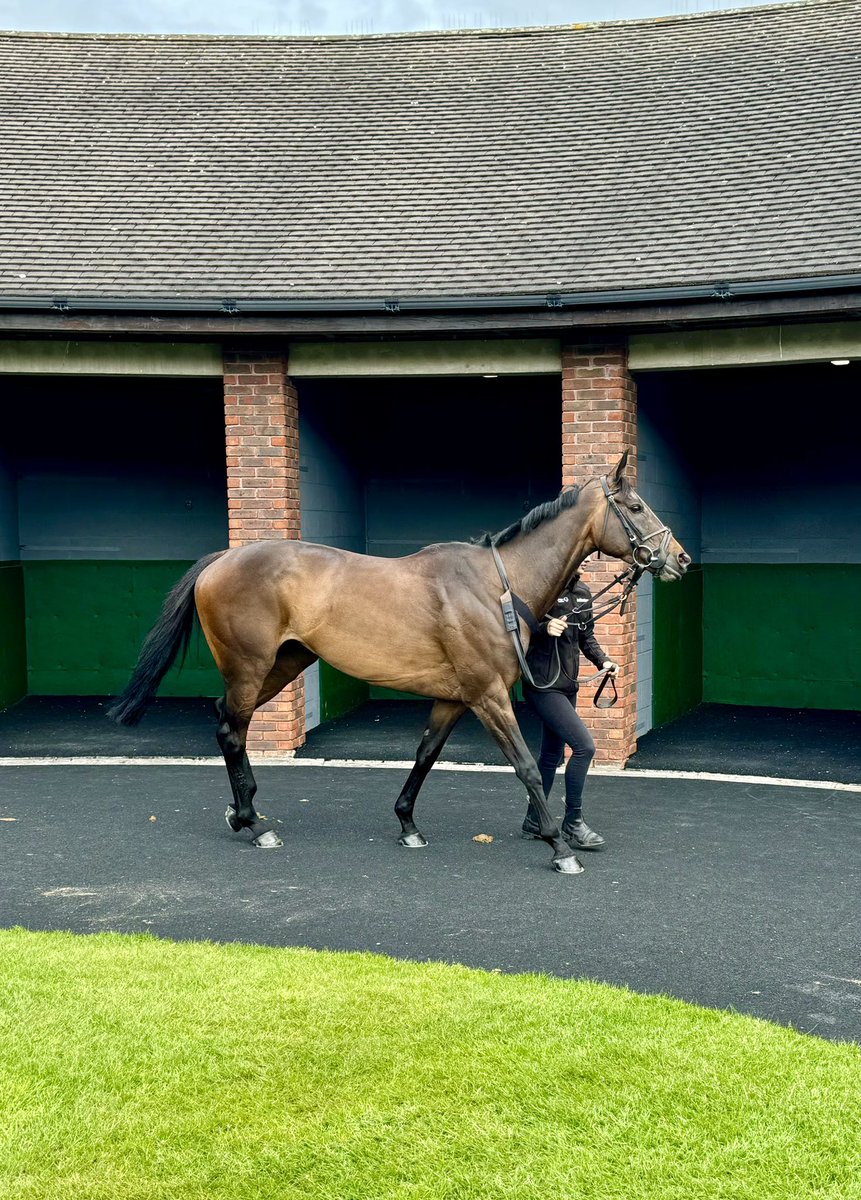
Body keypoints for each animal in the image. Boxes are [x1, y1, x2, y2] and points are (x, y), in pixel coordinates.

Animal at [107, 451, 690, 873]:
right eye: (637, 507)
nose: (679, 558)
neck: (495, 588)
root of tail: (220, 559)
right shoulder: (488, 695)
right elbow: (525, 764)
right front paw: (558, 846)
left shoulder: (455, 697)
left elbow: (426, 754)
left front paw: (408, 824)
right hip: (251, 668)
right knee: (232, 728)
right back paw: (254, 823)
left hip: (283, 665)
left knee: (227, 720)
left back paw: (241, 812)